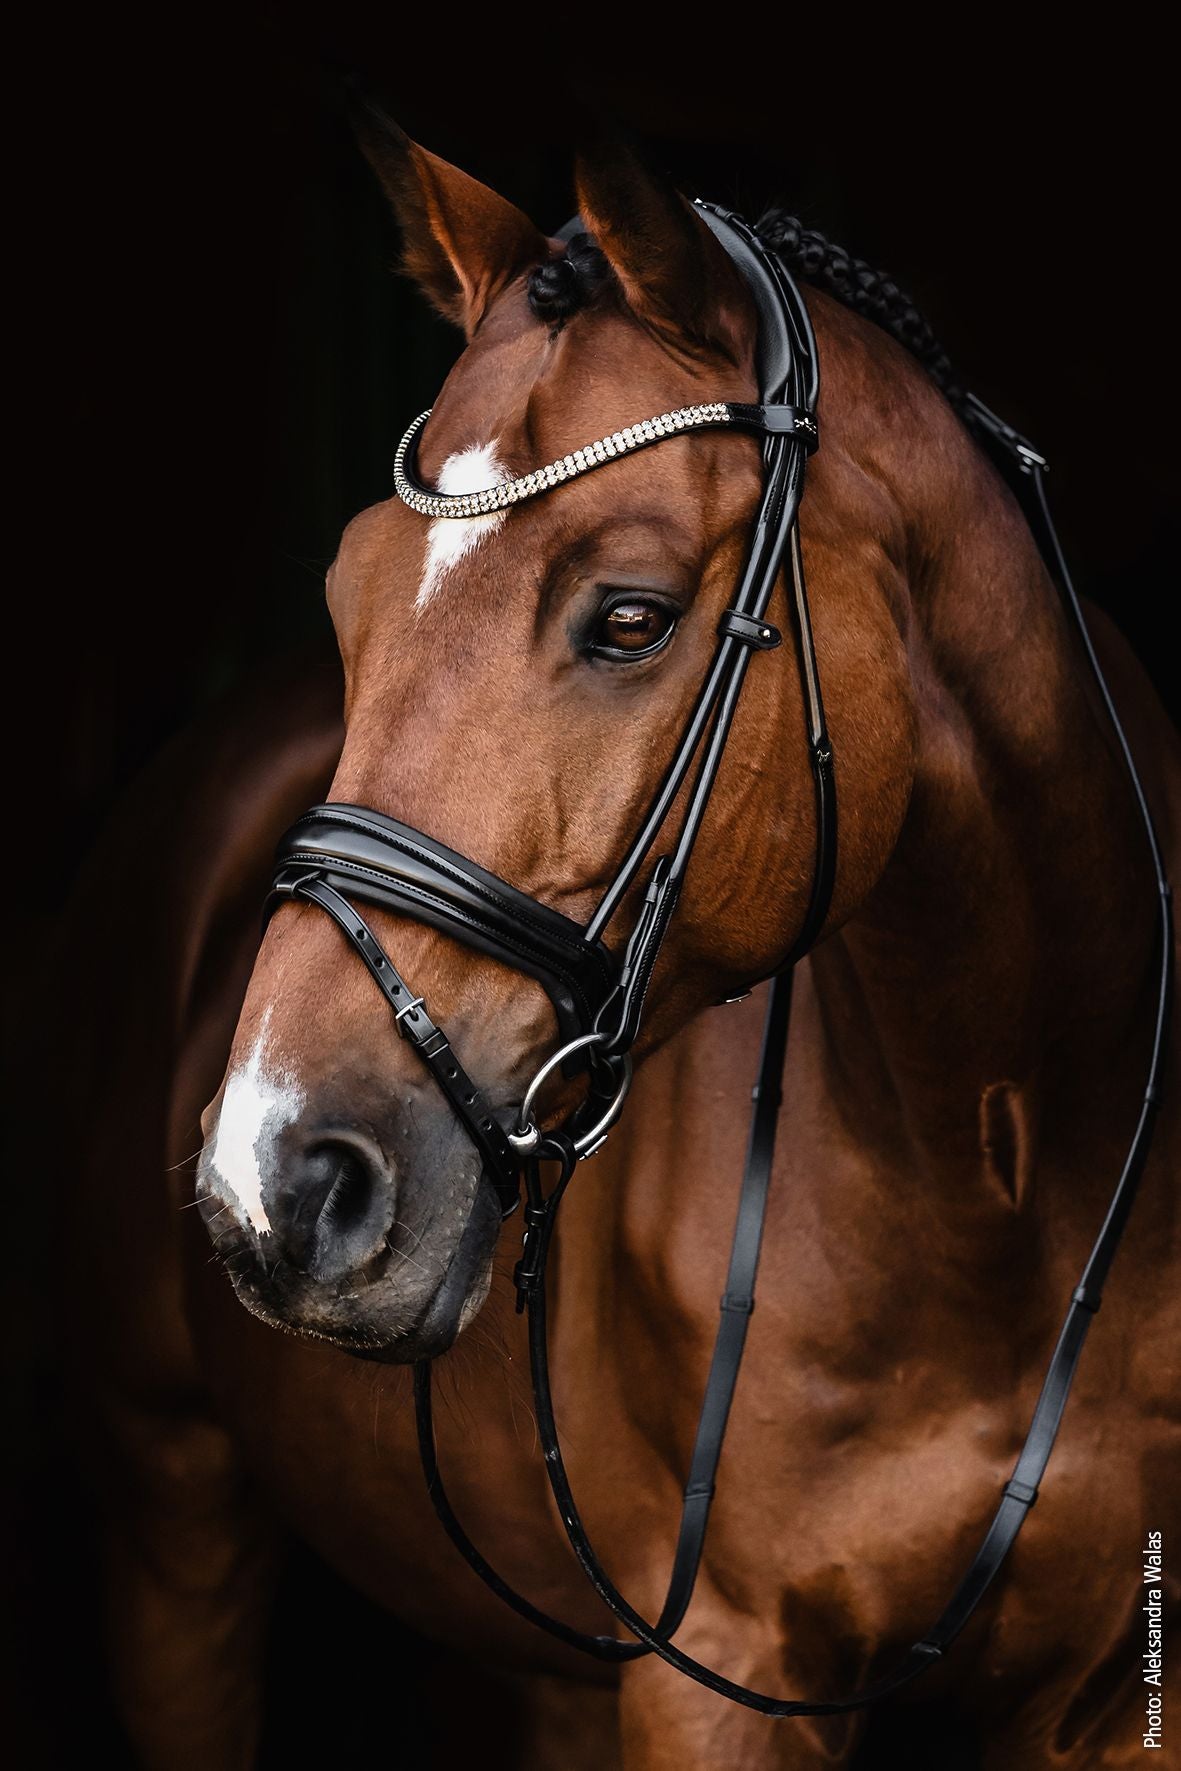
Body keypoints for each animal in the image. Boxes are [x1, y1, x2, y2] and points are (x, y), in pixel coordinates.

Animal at [64, 114, 1180, 1769]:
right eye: (345, 597)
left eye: (634, 616)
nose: (272, 1179)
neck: (1006, 1160)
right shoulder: (713, 1676)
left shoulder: (1122, 1697)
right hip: (173, 1515)